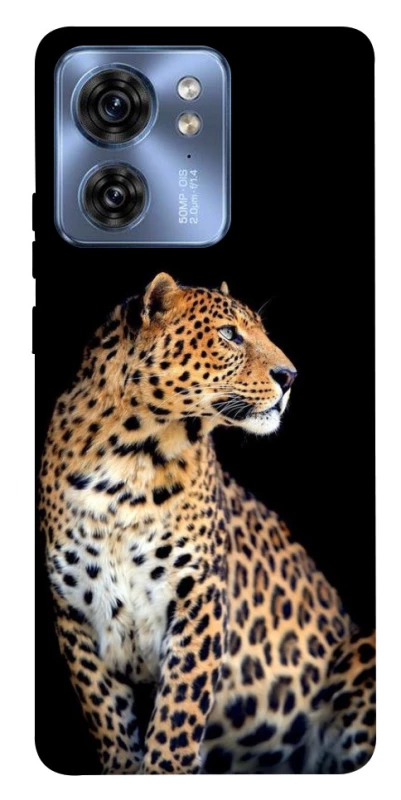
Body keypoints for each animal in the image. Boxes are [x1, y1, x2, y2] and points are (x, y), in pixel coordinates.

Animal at [39, 272, 376, 774]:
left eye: (260, 331)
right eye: (229, 334)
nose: (290, 376)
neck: (129, 460)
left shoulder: (199, 597)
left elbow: (177, 717)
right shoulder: (75, 613)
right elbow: (109, 721)